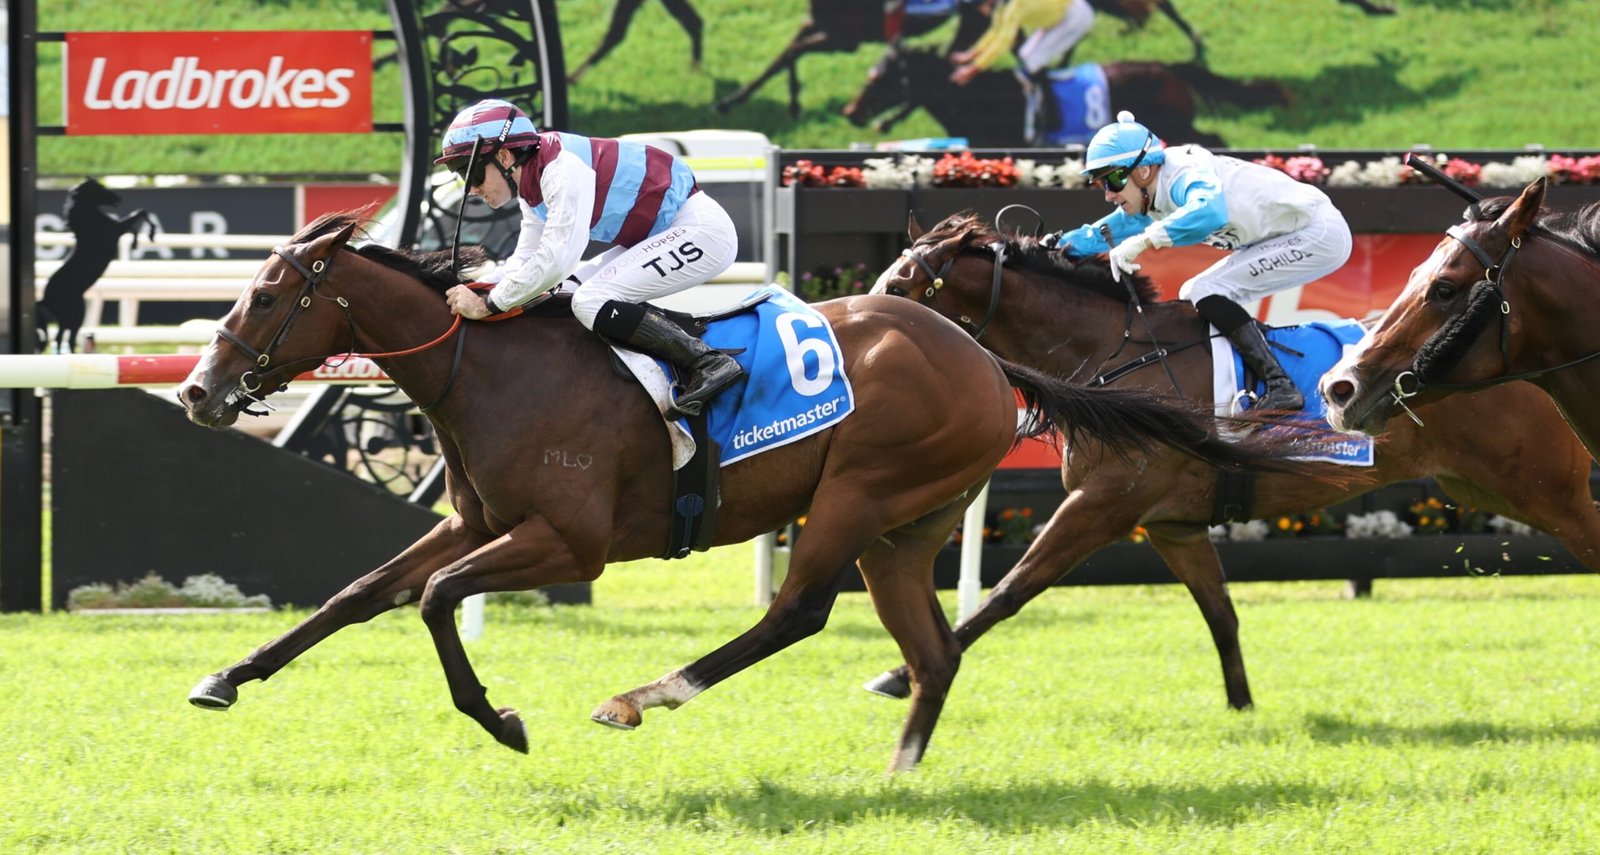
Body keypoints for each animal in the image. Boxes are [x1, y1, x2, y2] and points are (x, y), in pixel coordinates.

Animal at [37, 178, 158, 353]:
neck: (89, 221)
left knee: (62, 338)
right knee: (65, 338)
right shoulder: (116, 230)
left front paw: (137, 243)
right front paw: (151, 233)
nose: (118, 198)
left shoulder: (118, 230)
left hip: (70, 316)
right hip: (74, 314)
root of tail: (44, 299)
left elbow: (133, 225)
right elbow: (139, 213)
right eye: (98, 188)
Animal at [174, 211, 1310, 772]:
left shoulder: (571, 543)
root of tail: (987, 360)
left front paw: (501, 720)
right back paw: (898, 770)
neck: (486, 369)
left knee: (796, 613)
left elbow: (436, 599)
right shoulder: (474, 520)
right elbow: (357, 593)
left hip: (859, 493)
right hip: (905, 527)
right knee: (933, 650)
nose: (197, 389)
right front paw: (225, 675)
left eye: (266, 295)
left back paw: (643, 696)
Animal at [860, 212, 1600, 710]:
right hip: (1484, 485)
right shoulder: (1173, 524)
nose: (861, 326)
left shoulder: (1103, 502)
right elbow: (1220, 613)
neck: (1113, 352)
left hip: (1544, 487)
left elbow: (1011, 589)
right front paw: (1244, 709)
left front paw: (899, 673)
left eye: (902, 284)